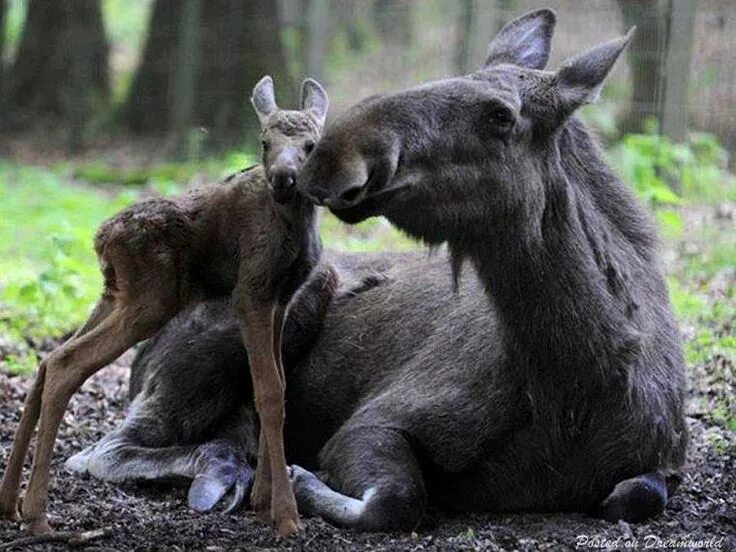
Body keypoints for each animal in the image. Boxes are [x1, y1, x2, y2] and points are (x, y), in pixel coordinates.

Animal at [294, 9, 688, 532]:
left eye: (500, 115)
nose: (331, 157)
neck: (575, 383)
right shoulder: (371, 421)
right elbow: (396, 499)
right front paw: (299, 478)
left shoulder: (664, 460)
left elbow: (640, 494)